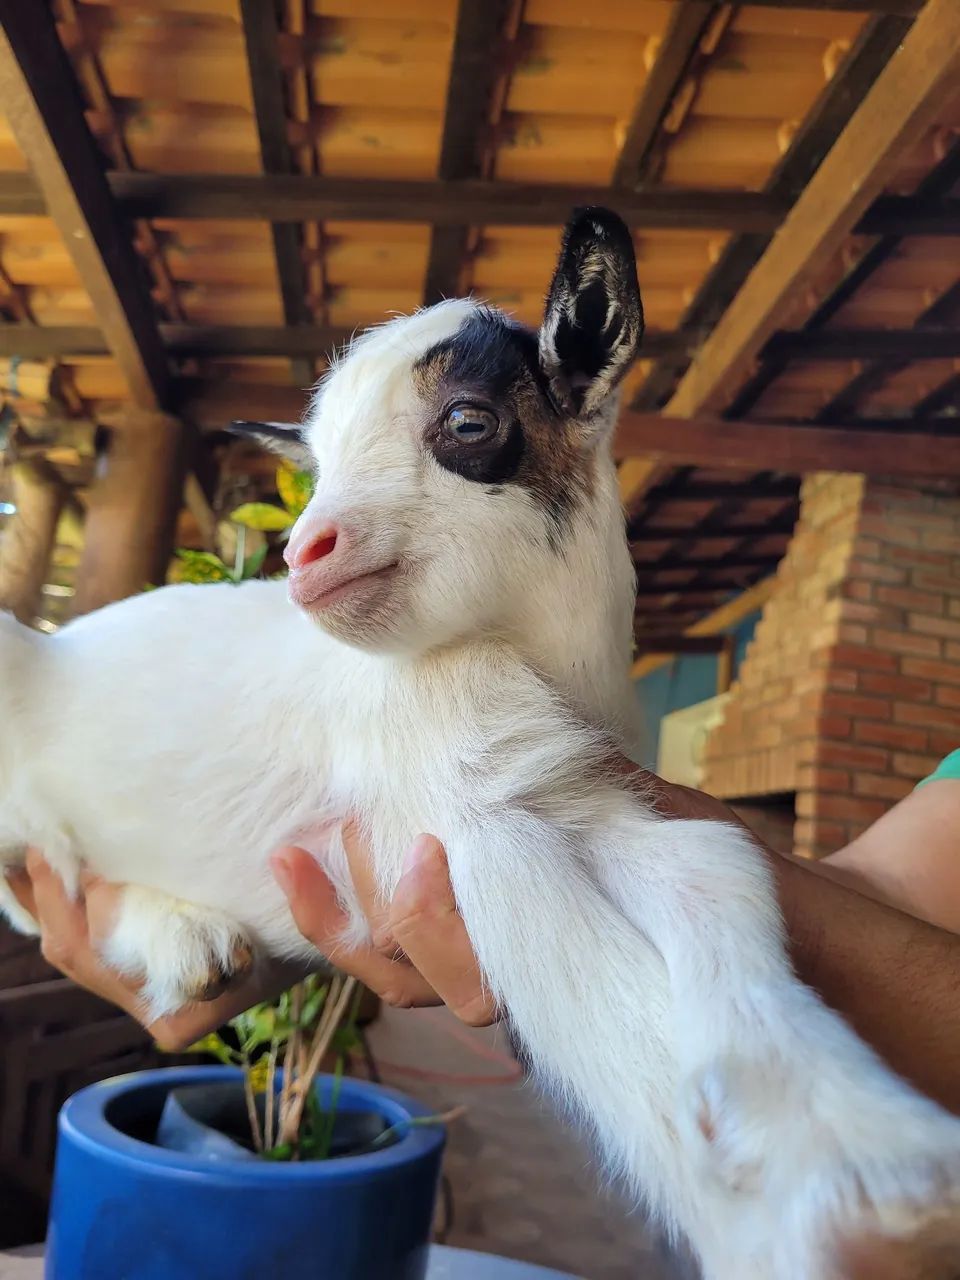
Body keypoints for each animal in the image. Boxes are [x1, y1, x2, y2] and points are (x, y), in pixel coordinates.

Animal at [2, 209, 959, 1279]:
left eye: (467, 424)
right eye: (317, 465)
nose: (305, 553)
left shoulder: (567, 788)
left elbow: (714, 862)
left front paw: (857, 1144)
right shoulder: (465, 818)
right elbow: (572, 961)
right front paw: (826, 1218)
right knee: (34, 898)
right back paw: (178, 936)